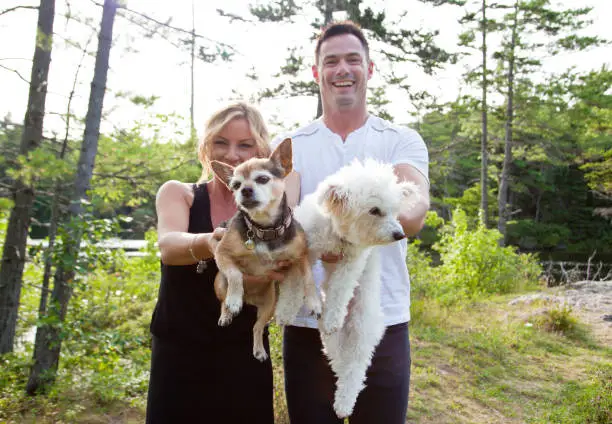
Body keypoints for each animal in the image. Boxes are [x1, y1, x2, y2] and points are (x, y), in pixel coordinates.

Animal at [212, 139, 320, 362]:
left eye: (262, 179)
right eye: (235, 185)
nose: (244, 190)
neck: (265, 229)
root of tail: (250, 299)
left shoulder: (301, 256)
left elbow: (309, 280)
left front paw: (314, 303)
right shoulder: (221, 253)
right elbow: (235, 274)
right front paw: (234, 300)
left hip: (269, 305)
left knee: (257, 327)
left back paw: (259, 350)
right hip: (219, 283)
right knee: (222, 299)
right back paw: (227, 312)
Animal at [296, 158, 420, 418]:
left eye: (395, 210)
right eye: (375, 210)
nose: (399, 234)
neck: (336, 233)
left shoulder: (352, 262)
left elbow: (340, 289)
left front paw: (332, 315)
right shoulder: (306, 247)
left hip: (363, 326)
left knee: (355, 369)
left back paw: (344, 403)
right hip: (334, 341)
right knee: (339, 359)